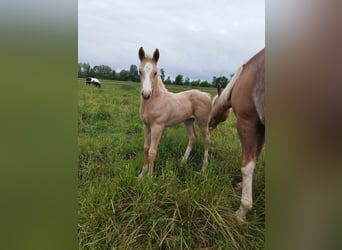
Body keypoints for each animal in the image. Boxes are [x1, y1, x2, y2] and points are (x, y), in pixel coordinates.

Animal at [138, 46, 212, 177]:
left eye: (155, 72)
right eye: (140, 71)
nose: (146, 94)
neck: (155, 101)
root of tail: (206, 95)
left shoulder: (157, 127)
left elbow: (152, 151)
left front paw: (150, 178)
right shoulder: (146, 126)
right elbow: (146, 148)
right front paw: (142, 175)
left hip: (203, 122)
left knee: (207, 139)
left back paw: (203, 169)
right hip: (188, 121)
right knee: (193, 137)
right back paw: (182, 162)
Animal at [208, 48, 264, 221]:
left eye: (213, 103)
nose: (208, 123)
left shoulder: (247, 122)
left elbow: (247, 165)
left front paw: (242, 212)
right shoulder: (261, 128)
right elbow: (255, 157)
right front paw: (241, 186)